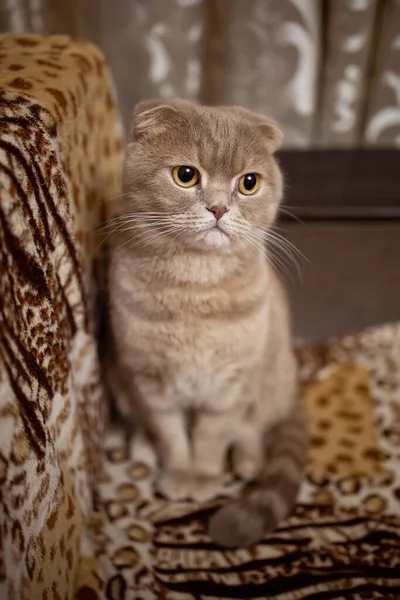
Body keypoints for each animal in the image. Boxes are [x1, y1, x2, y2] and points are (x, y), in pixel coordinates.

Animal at [108, 99, 308, 548]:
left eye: (249, 183)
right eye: (186, 175)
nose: (218, 208)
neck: (195, 291)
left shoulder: (229, 386)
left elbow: (212, 435)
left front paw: (202, 475)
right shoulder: (150, 381)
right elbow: (169, 433)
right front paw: (179, 471)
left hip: (272, 379)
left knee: (253, 427)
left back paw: (250, 462)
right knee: (140, 423)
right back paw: (143, 450)